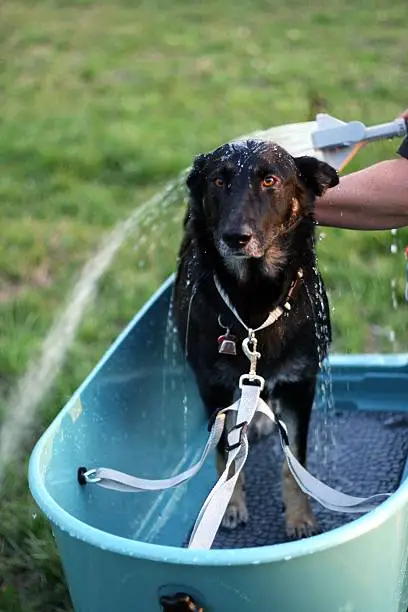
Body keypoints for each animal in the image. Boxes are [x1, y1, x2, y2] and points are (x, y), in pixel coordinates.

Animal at [174, 137, 340, 536]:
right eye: (218, 181)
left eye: (269, 180)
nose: (236, 237)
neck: (253, 300)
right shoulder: (214, 387)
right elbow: (224, 454)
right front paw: (229, 505)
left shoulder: (300, 384)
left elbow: (295, 462)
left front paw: (300, 517)